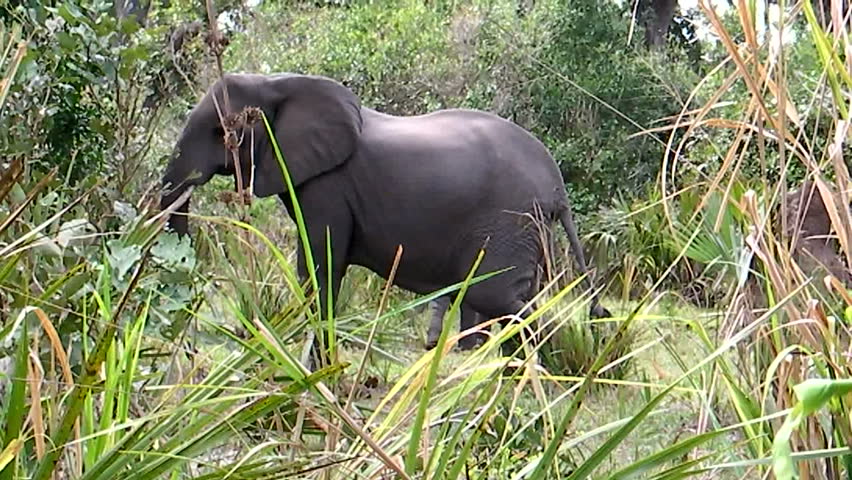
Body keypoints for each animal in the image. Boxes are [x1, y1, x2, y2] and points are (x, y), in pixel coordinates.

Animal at [160, 72, 611, 364]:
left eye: (221, 131)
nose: (191, 352)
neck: (275, 81)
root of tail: (557, 185)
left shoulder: (328, 186)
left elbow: (320, 267)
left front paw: (315, 377)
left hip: (509, 220)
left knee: (500, 299)